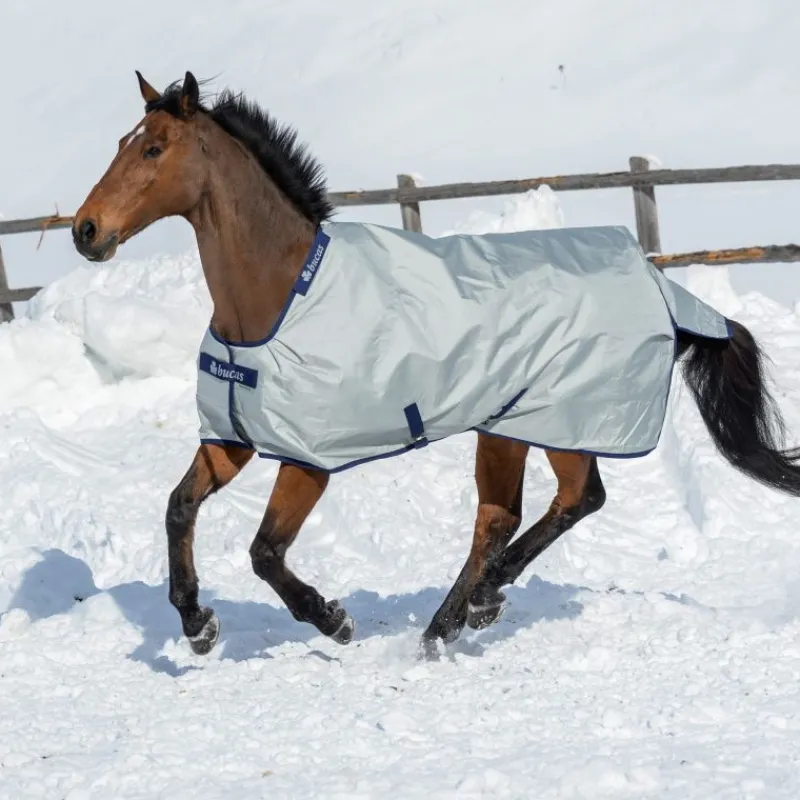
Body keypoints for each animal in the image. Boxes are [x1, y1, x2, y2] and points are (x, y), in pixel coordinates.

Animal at [71, 71, 800, 659]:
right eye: (120, 143)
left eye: (153, 148)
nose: (86, 231)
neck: (279, 295)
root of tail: (662, 287)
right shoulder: (235, 439)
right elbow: (178, 508)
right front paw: (197, 625)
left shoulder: (308, 459)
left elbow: (265, 552)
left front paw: (333, 619)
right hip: (523, 425)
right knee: (535, 509)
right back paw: (457, 616)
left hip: (544, 421)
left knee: (542, 507)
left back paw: (471, 606)